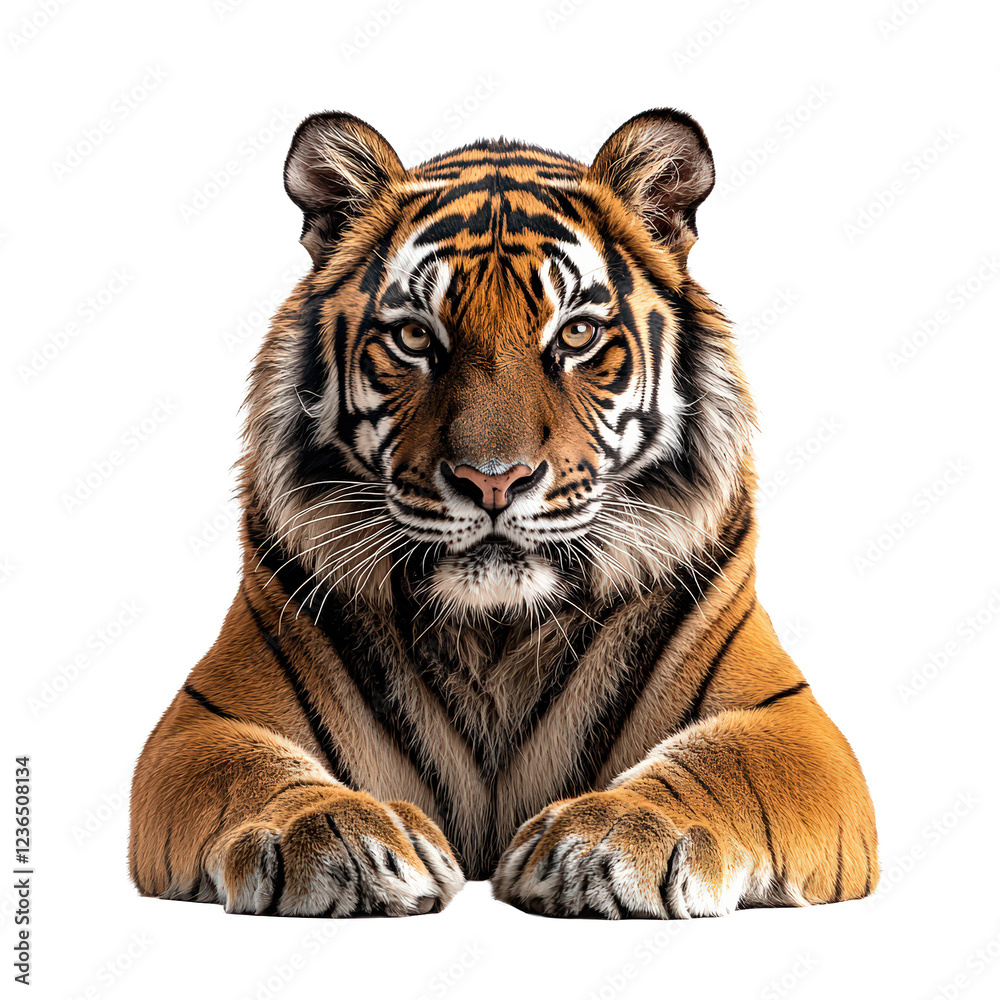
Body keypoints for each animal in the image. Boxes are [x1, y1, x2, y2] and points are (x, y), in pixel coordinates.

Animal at [128, 108, 878, 919]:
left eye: (576, 335)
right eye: (415, 336)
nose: (493, 481)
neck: (495, 632)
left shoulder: (790, 721)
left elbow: (722, 760)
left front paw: (616, 837)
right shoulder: (205, 720)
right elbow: (254, 774)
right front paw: (333, 838)